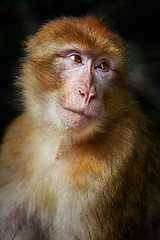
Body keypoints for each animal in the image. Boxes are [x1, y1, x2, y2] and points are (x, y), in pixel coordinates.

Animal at [0, 15, 160, 240]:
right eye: (76, 59)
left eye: (103, 66)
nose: (88, 92)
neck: (61, 143)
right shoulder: (16, 141)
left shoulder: (116, 159)